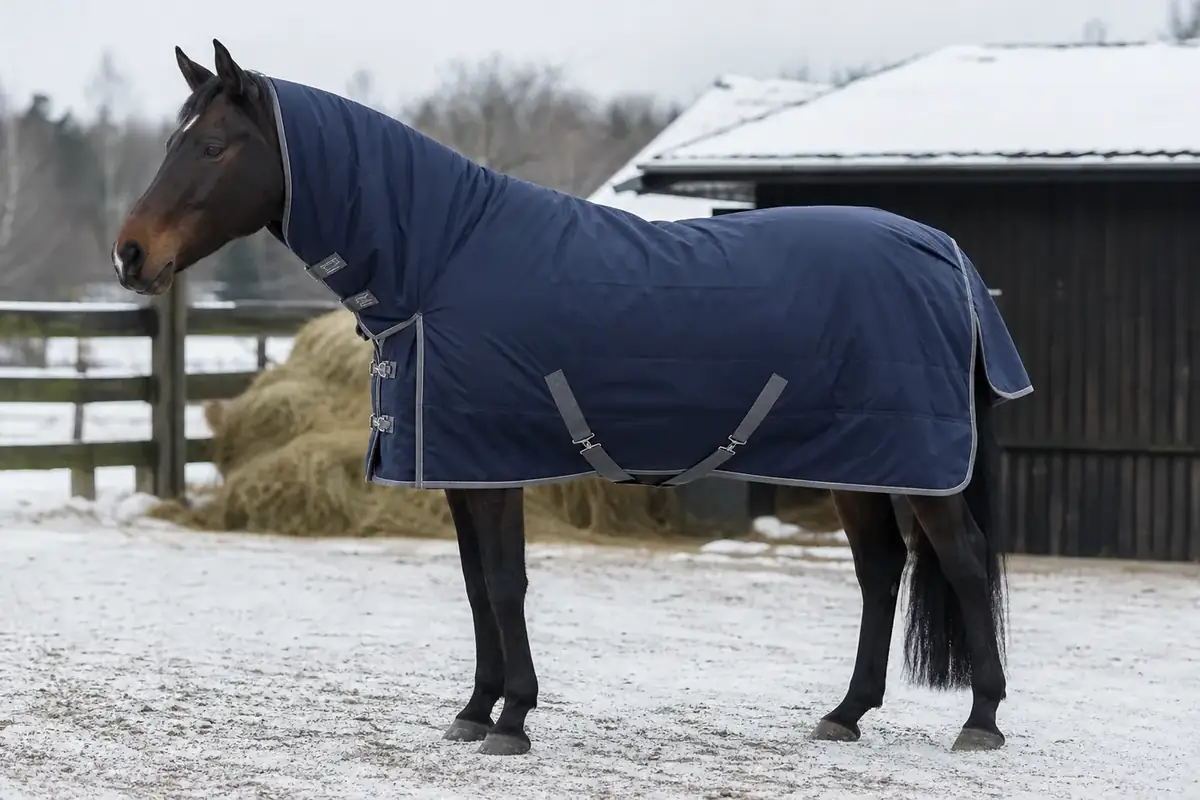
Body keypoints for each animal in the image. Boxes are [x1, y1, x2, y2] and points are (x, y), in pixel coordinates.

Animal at [112, 40, 1032, 757]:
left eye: (215, 146)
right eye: (176, 140)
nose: (130, 255)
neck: (444, 259)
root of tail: (942, 251)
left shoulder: (494, 466)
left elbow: (505, 582)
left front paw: (513, 718)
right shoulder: (459, 470)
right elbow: (475, 584)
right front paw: (473, 710)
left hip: (916, 467)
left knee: (962, 562)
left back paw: (981, 721)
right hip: (858, 462)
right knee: (881, 570)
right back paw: (844, 714)